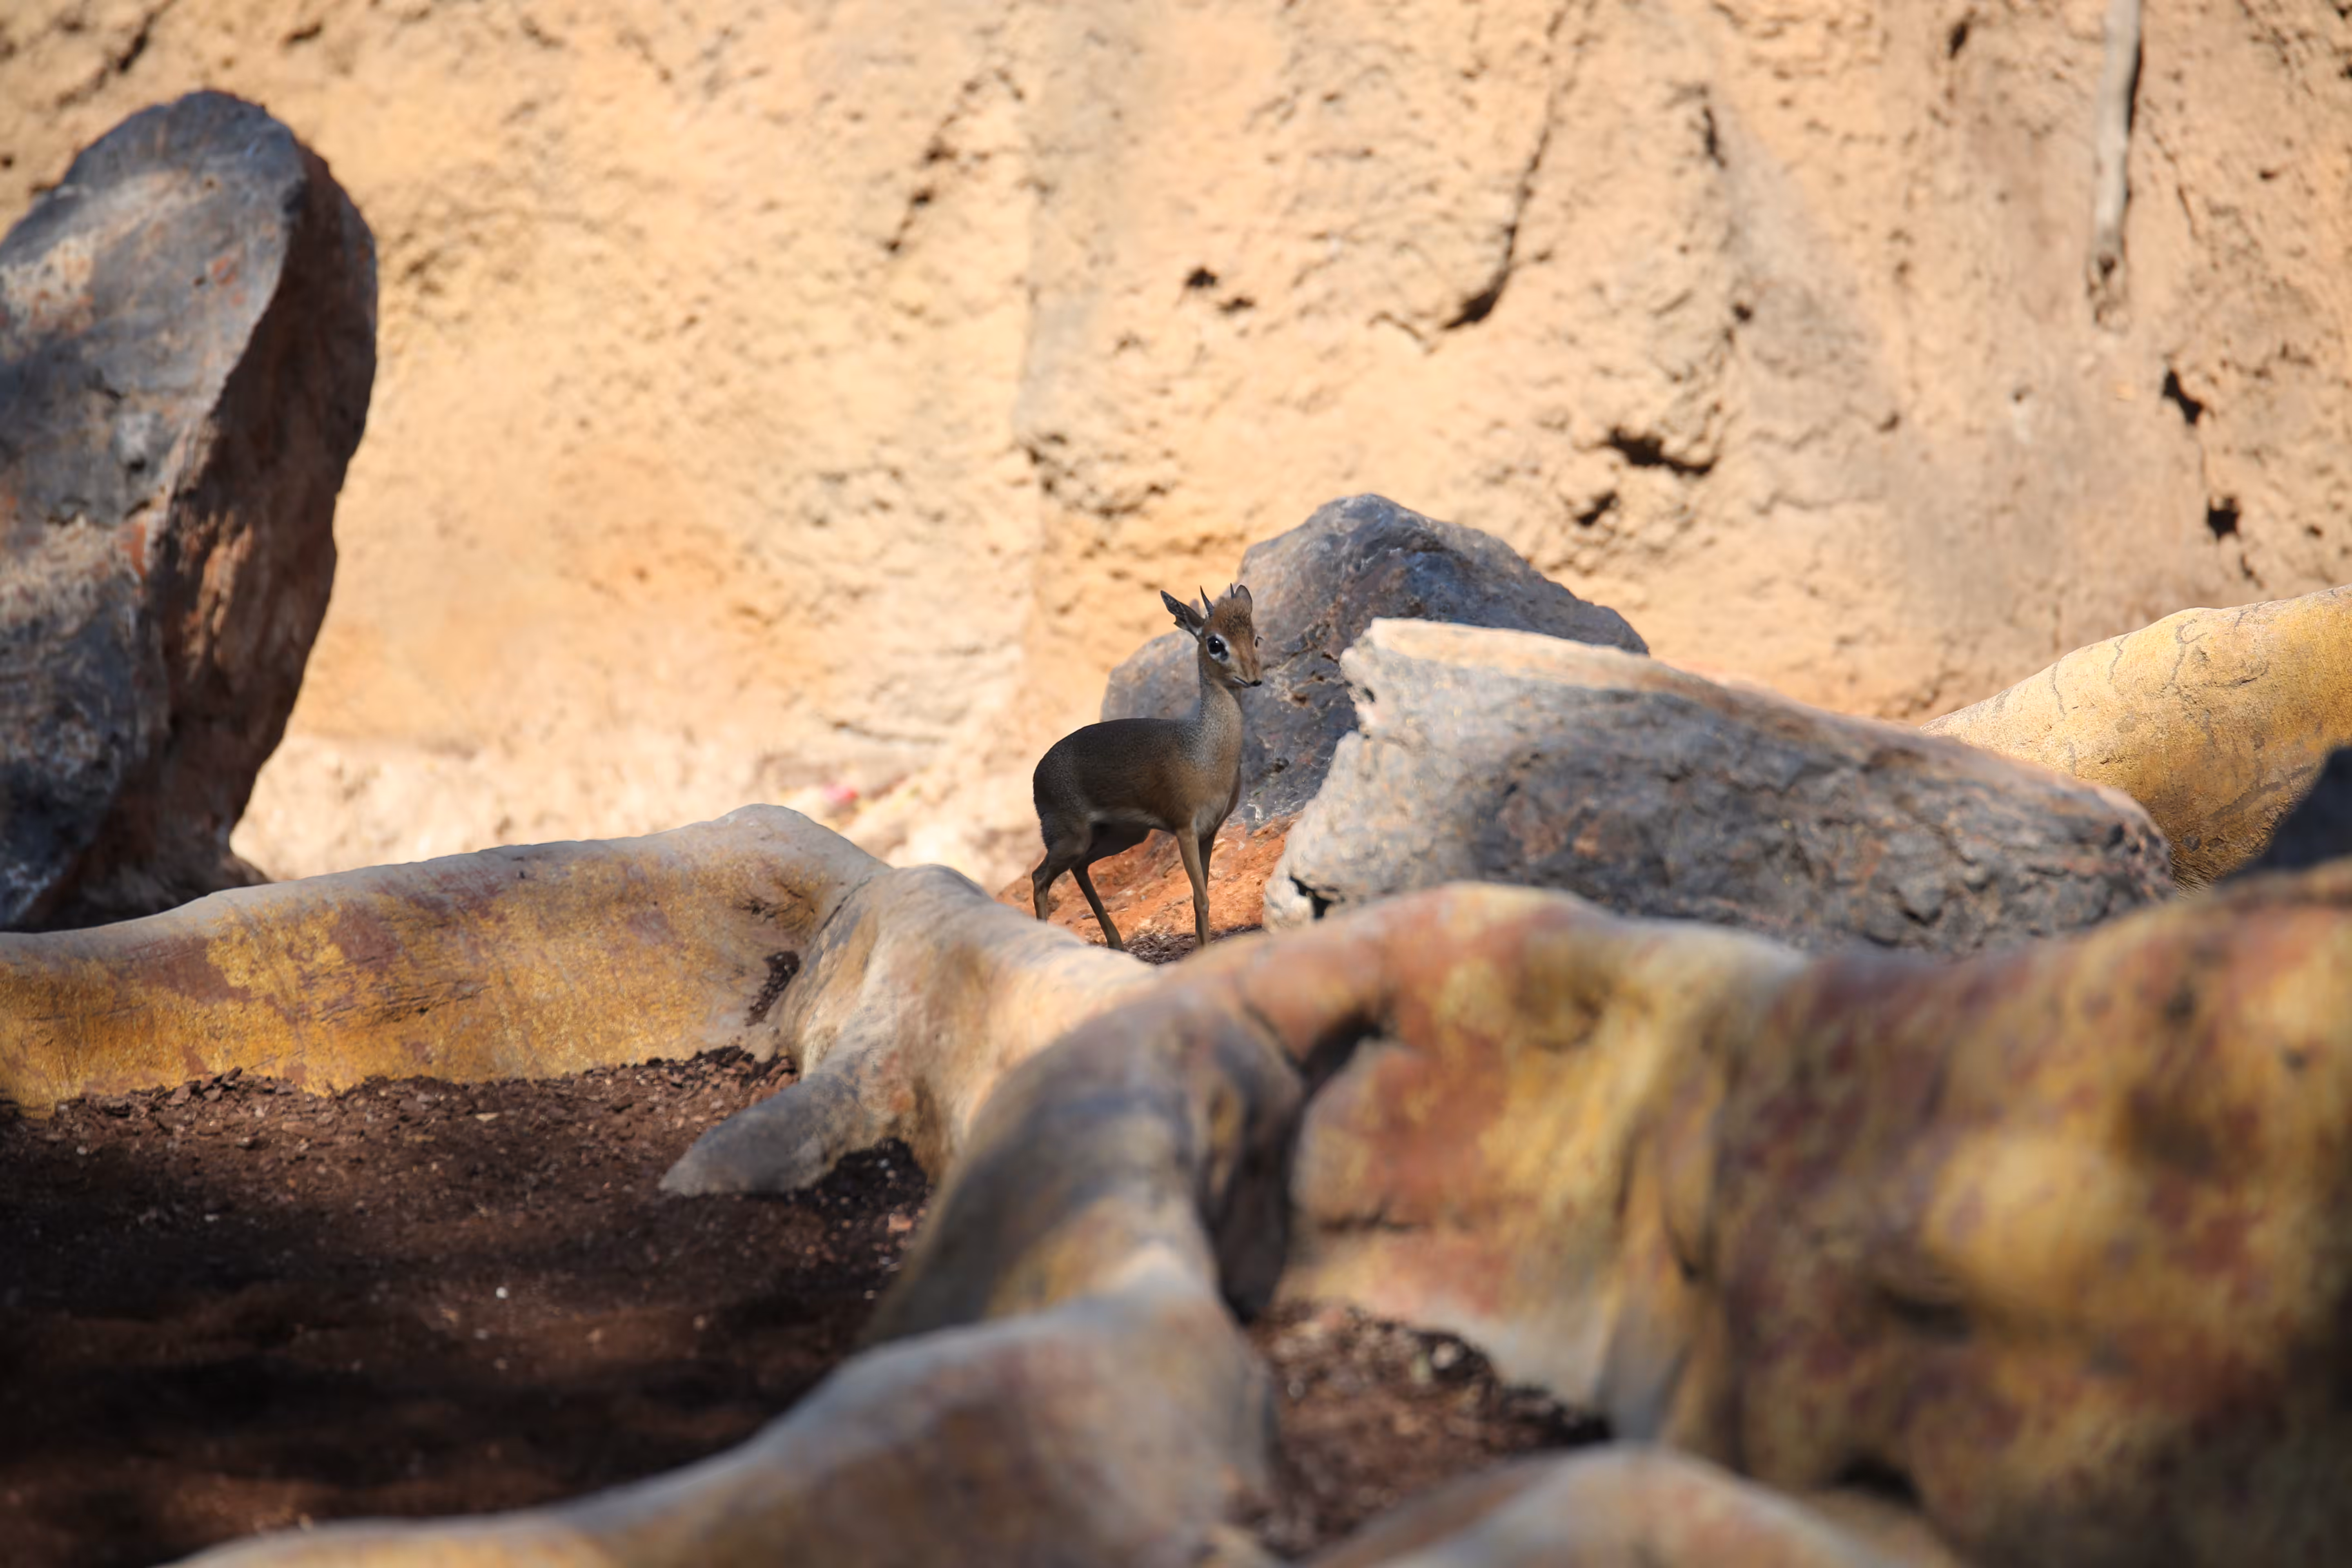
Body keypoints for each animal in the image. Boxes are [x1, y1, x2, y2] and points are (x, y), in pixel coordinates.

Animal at [1030, 584, 1263, 952]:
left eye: (1256, 638)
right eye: (1215, 643)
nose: (1255, 679)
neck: (1205, 753)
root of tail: (1038, 772)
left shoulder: (1209, 832)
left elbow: (1202, 896)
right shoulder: (1184, 829)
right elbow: (1201, 899)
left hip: (1122, 834)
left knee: (1079, 868)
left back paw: (1116, 943)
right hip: (1071, 837)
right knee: (1040, 877)